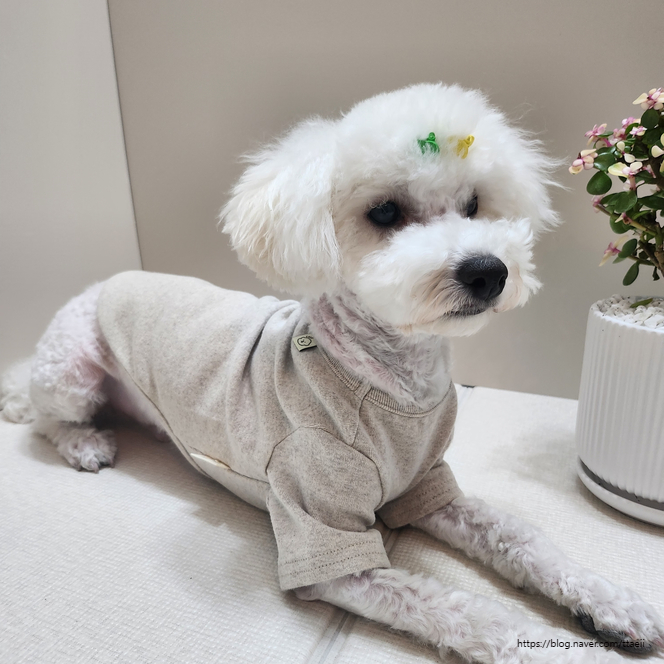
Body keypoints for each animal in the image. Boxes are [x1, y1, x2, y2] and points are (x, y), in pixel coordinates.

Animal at [1, 83, 662, 664]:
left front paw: (615, 604)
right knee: (44, 420)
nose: (488, 270)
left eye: (475, 205)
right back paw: (85, 443)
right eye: (385, 212)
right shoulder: (326, 534)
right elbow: (459, 608)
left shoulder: (427, 488)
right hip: (70, 370)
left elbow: (521, 537)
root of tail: (104, 278)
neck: (393, 383)